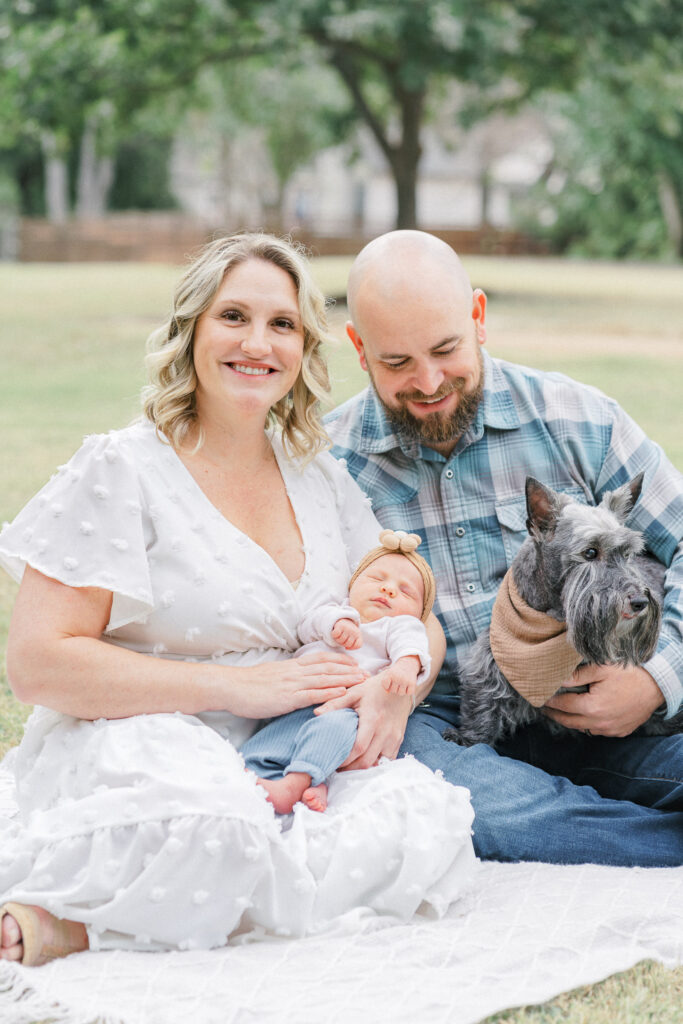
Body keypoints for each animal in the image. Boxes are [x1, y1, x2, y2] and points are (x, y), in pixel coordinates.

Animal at [446, 471, 679, 745]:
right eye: (590, 552)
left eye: (628, 553)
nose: (640, 602)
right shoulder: (490, 668)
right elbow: (481, 711)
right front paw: (465, 739)